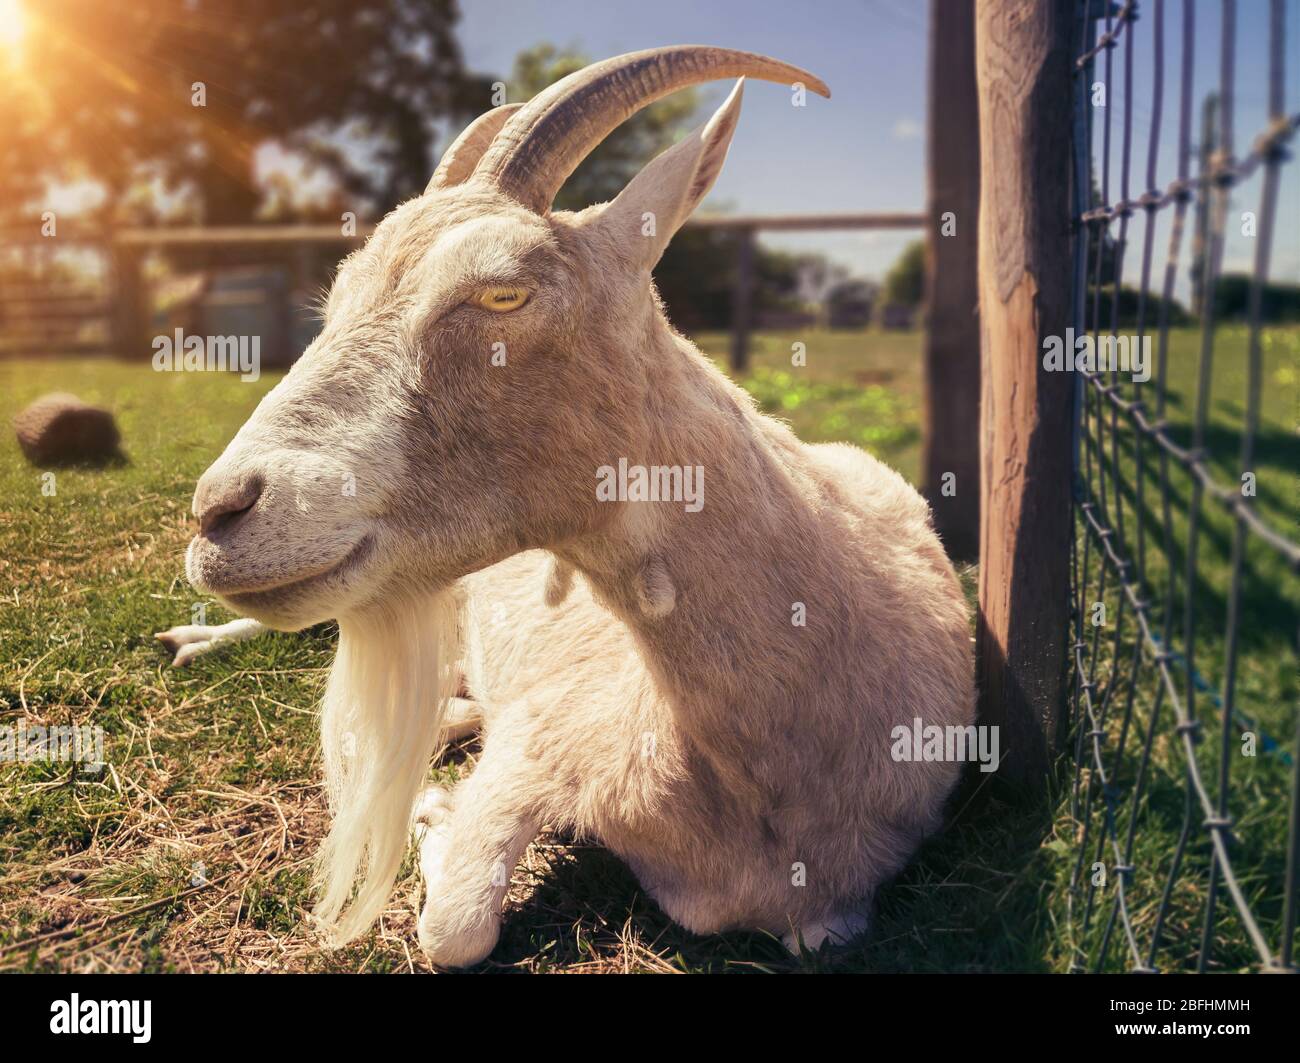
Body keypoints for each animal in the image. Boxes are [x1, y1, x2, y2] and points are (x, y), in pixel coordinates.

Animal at [180, 46, 975, 968]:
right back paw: (191, 638)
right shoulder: (537, 740)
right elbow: (457, 927)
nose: (219, 514)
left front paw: (435, 800)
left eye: (502, 294)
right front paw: (435, 812)